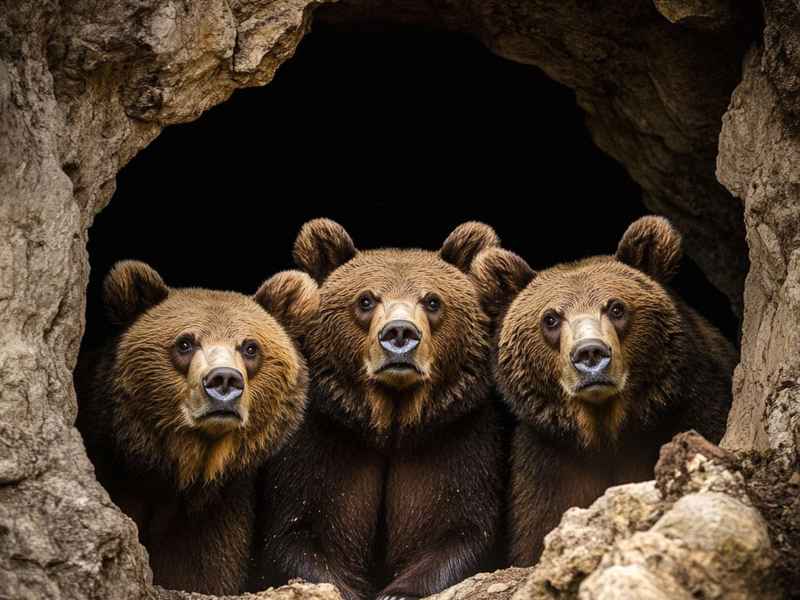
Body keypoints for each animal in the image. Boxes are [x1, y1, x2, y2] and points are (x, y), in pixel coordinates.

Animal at [249, 219, 533, 600]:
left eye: (432, 300)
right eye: (366, 299)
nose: (399, 333)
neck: (391, 420)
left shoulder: (456, 435)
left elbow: (462, 527)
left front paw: (398, 590)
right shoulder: (325, 438)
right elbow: (295, 530)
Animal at [474, 216, 737, 566]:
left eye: (616, 308)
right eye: (551, 318)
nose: (590, 353)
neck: (606, 429)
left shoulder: (696, 408)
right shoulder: (549, 461)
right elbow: (537, 527)